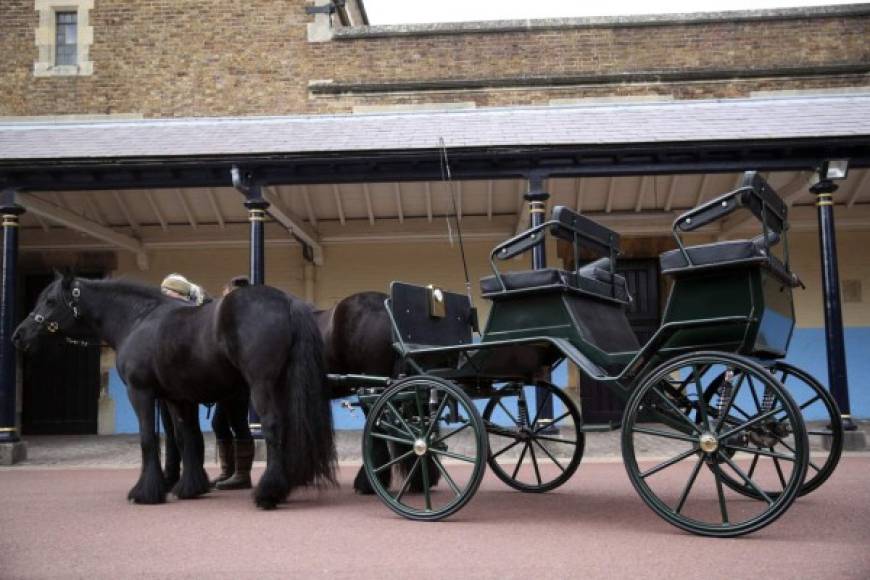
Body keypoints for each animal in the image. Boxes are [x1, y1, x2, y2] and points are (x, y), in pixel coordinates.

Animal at [16, 274, 340, 510]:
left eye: (50, 300)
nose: (19, 335)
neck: (138, 320)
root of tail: (286, 300)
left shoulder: (141, 393)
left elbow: (148, 439)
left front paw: (145, 491)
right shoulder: (177, 398)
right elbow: (186, 439)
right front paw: (190, 486)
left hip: (261, 385)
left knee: (273, 428)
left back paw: (268, 493)